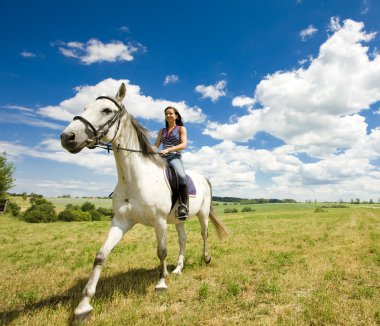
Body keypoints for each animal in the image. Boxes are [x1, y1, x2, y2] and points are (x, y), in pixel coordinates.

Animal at [60, 83, 227, 318]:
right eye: (85, 107)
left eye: (106, 110)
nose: (67, 137)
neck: (135, 178)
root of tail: (203, 177)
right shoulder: (121, 221)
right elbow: (101, 255)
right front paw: (84, 305)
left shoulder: (159, 221)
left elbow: (161, 251)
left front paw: (161, 284)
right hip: (179, 219)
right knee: (183, 240)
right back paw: (178, 269)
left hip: (202, 214)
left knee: (204, 234)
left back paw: (206, 258)